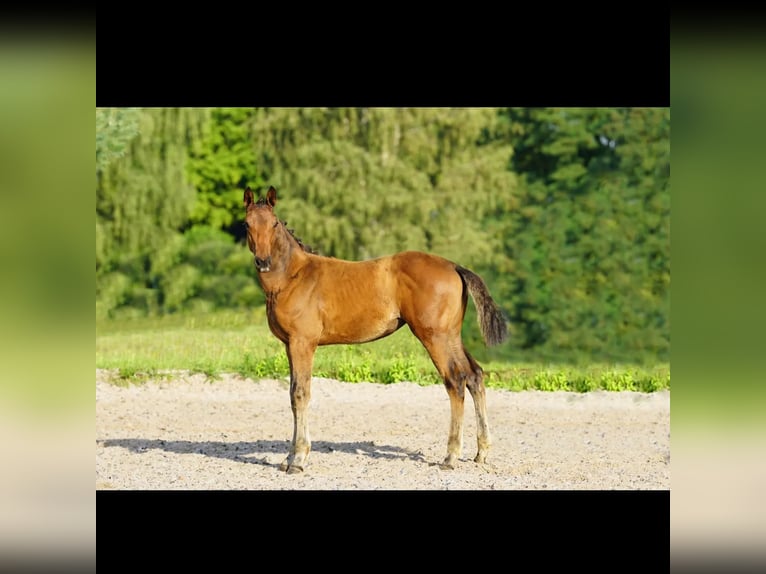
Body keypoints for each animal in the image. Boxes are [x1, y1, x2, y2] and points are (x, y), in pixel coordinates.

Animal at [246, 187, 510, 474]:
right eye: (247, 224)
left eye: (274, 223)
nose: (263, 261)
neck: (292, 277)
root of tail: (454, 266)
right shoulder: (289, 345)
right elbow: (292, 394)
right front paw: (288, 457)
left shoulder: (302, 342)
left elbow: (300, 393)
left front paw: (298, 459)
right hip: (451, 335)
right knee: (475, 375)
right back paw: (481, 452)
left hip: (434, 337)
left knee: (455, 380)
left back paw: (450, 456)